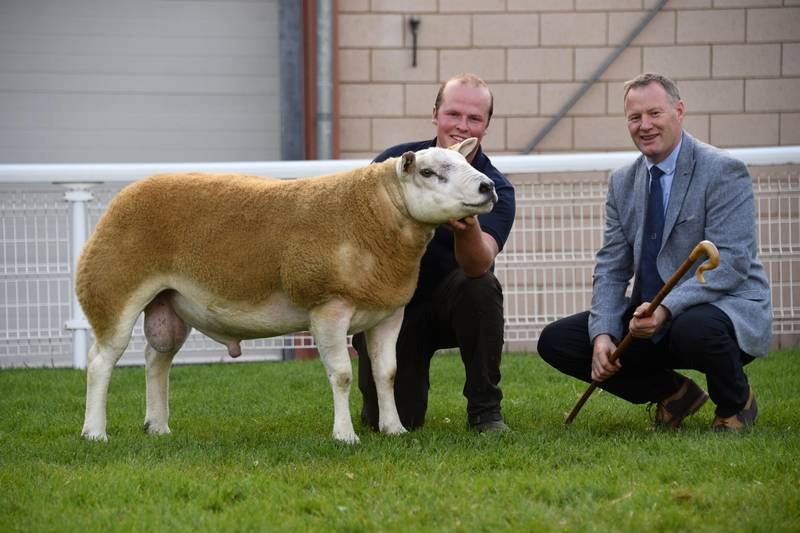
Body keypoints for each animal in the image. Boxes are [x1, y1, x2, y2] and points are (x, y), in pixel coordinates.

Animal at [78, 136, 496, 440]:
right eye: (428, 171)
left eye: (468, 164)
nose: (488, 186)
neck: (374, 216)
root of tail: (125, 195)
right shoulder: (328, 307)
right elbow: (342, 375)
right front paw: (345, 436)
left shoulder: (389, 313)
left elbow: (387, 374)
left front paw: (394, 429)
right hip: (111, 290)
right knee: (101, 361)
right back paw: (95, 432)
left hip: (169, 302)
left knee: (156, 359)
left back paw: (158, 427)